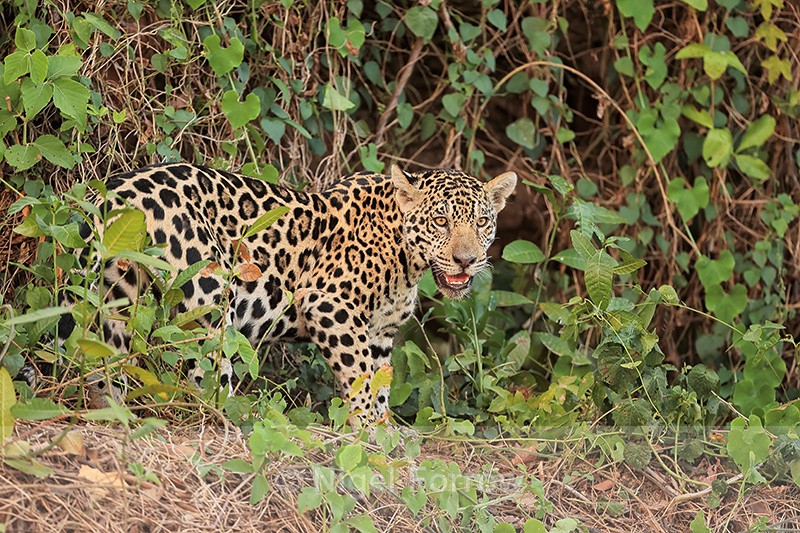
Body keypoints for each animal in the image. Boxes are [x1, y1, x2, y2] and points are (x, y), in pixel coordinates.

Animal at [50, 163, 517, 426]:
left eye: (481, 222)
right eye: (440, 221)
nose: (466, 261)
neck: (407, 260)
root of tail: (113, 193)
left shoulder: (381, 333)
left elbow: (380, 383)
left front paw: (385, 437)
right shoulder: (331, 304)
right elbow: (361, 381)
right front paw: (367, 432)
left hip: (115, 297)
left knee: (104, 362)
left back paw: (110, 411)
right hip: (207, 295)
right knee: (206, 381)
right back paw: (242, 422)